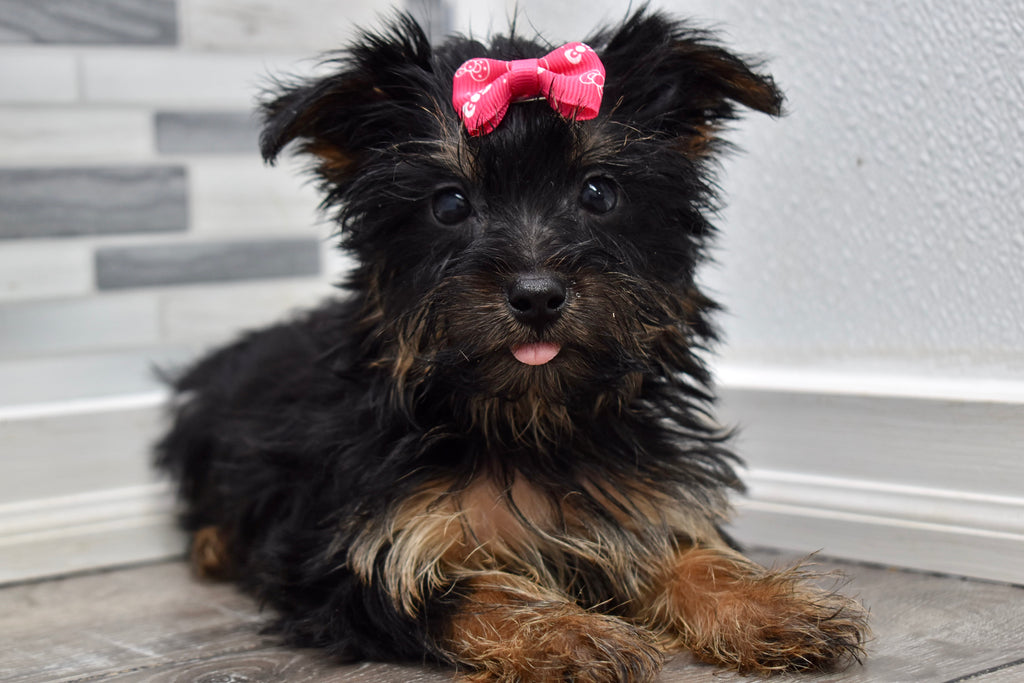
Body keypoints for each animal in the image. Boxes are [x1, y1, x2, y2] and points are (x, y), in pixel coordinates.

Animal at [155, 7, 868, 679]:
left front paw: (767, 606)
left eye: (599, 191)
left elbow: (687, 554)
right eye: (449, 204)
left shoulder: (633, 497)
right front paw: (571, 636)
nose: (536, 294)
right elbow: (471, 593)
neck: (526, 418)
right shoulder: (360, 556)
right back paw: (216, 545)